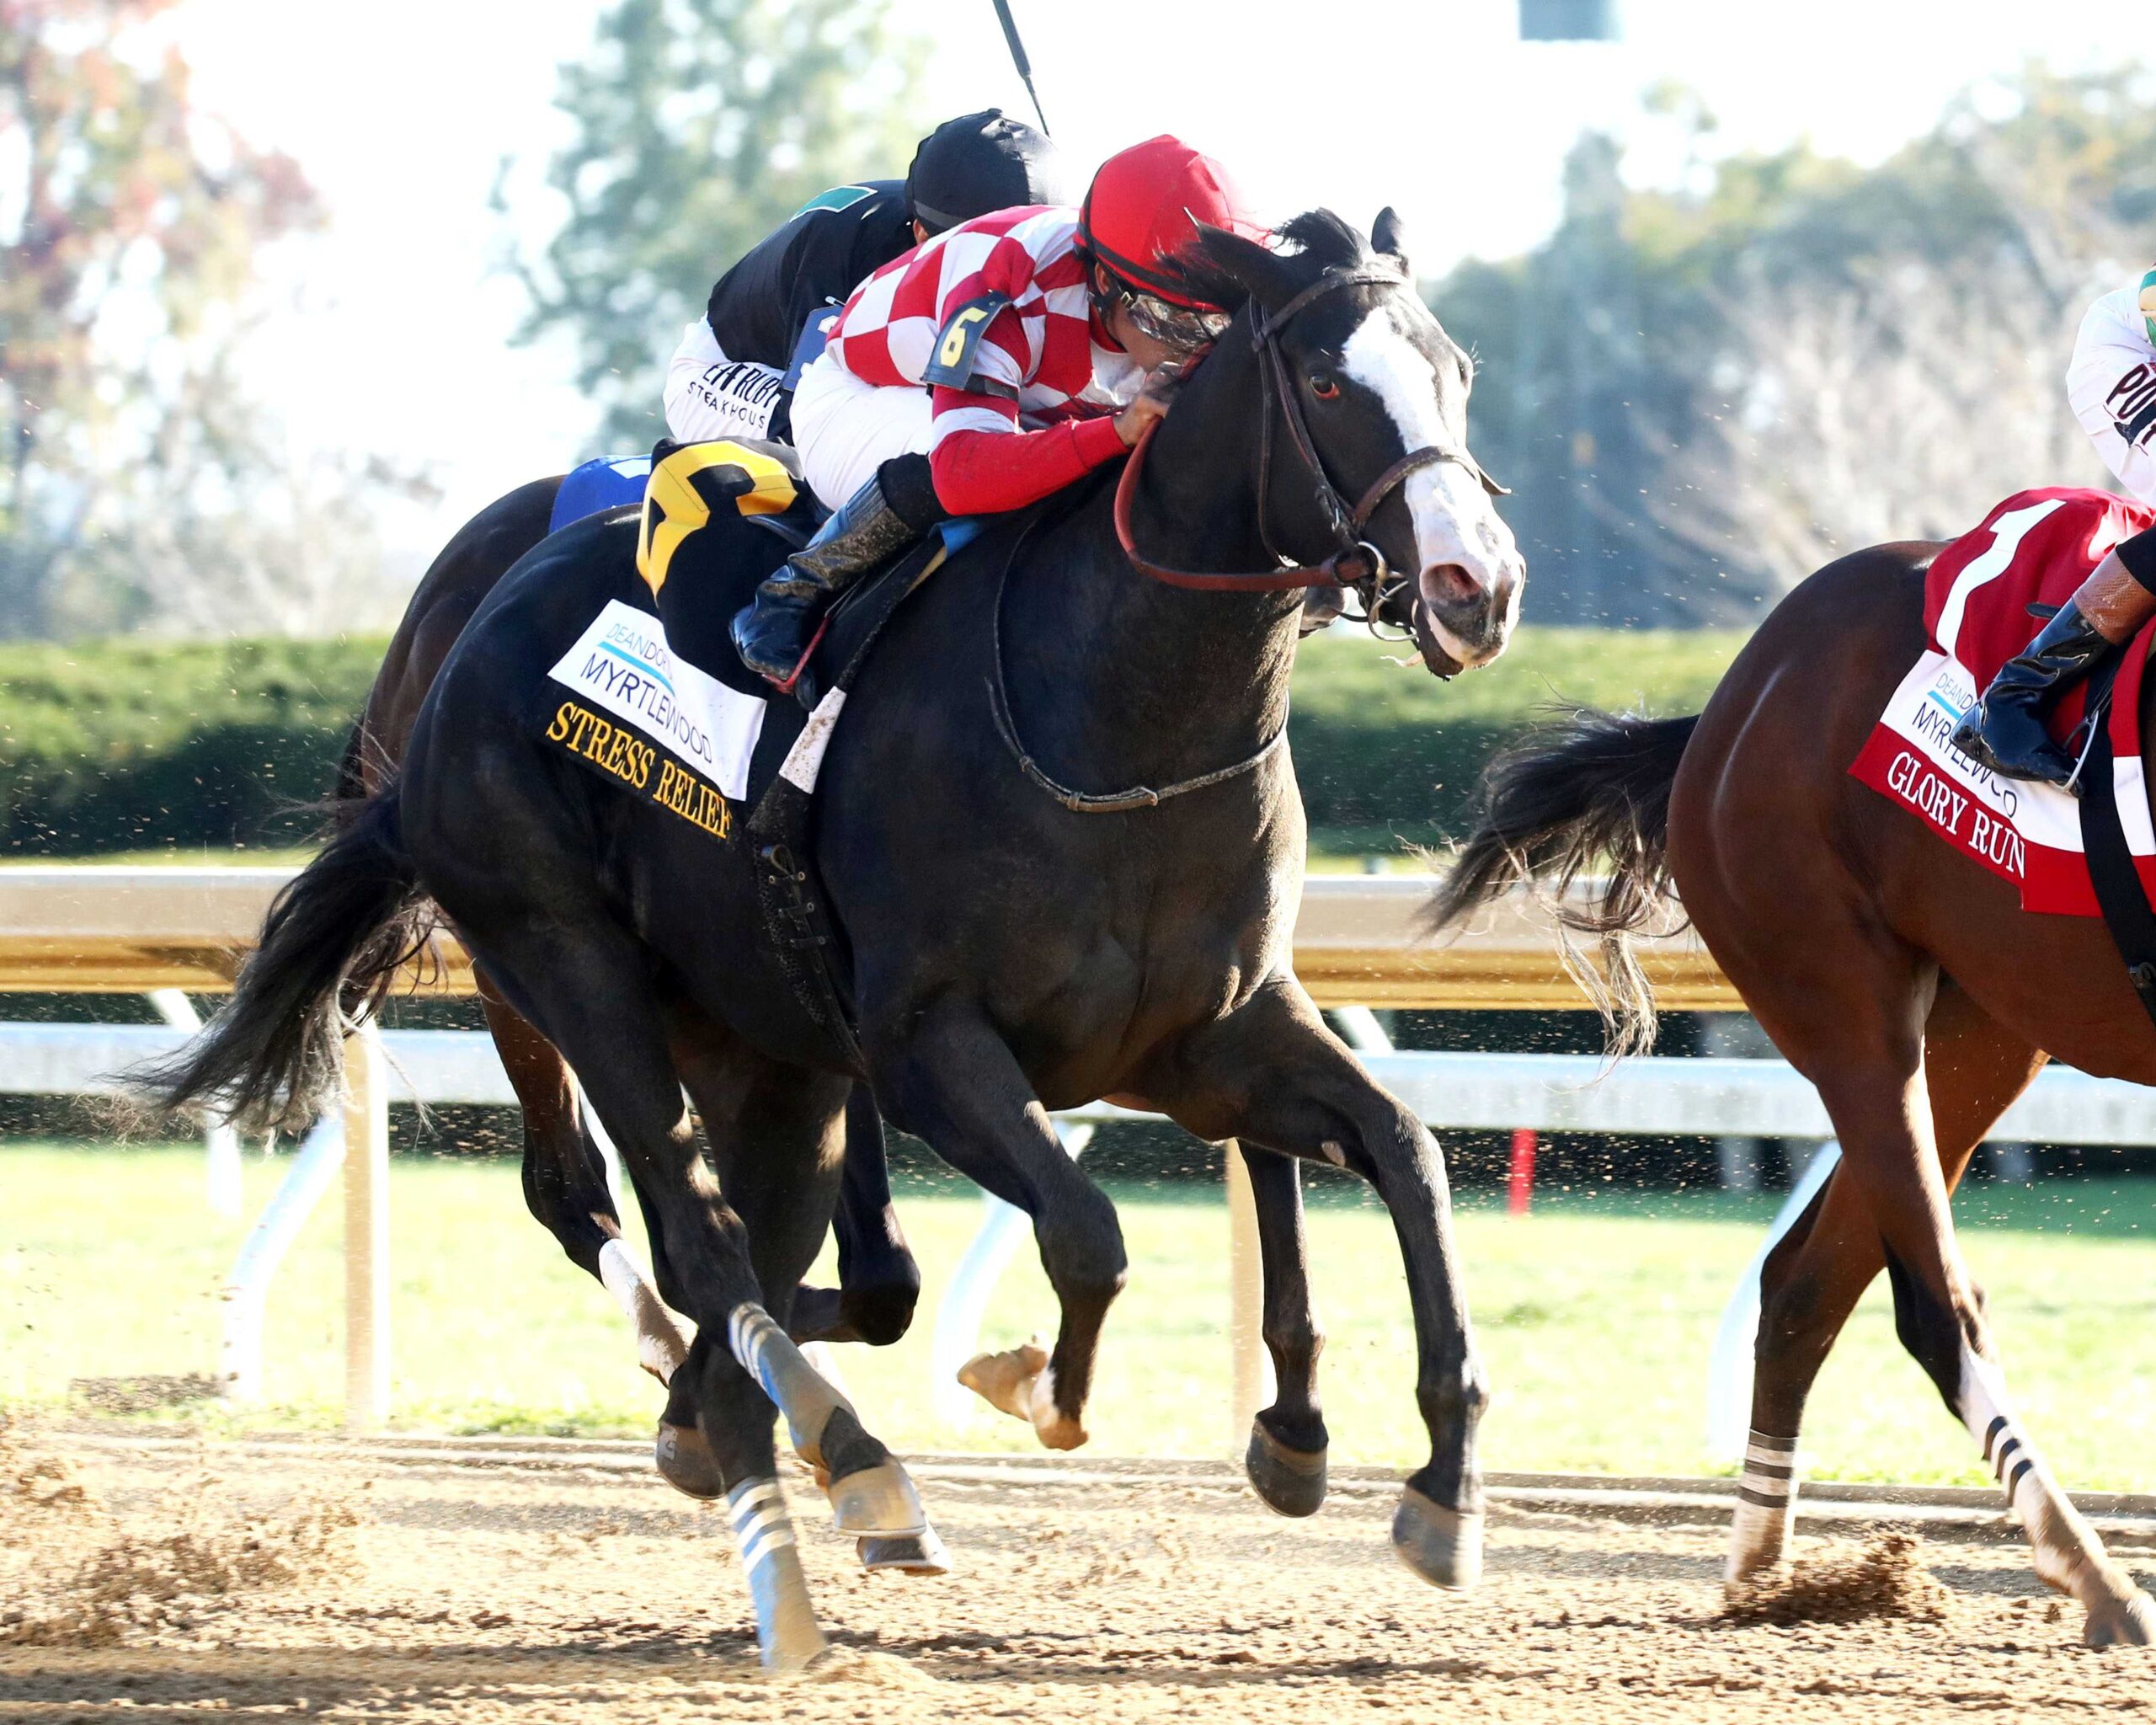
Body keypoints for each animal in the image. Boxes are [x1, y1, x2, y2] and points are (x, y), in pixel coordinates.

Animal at [146, 208, 1525, 1669]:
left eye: (1457, 372)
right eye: (1328, 383)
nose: (1477, 586)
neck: (1118, 713)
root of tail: (474, 625)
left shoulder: (1205, 1035)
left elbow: (1404, 1150)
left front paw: (1436, 1488)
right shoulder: (928, 1050)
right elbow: (1087, 1231)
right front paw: (1033, 1385)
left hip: (762, 1052)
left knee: (750, 1239)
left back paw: (771, 1434)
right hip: (558, 957)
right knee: (667, 1223)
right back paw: (810, 1531)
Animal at [1428, 538, 2156, 1647]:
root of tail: (1730, 699)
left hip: (1984, 1022)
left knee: (1808, 1282)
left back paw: (1764, 1573)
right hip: (1845, 1002)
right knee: (1928, 1304)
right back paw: (2096, 1577)